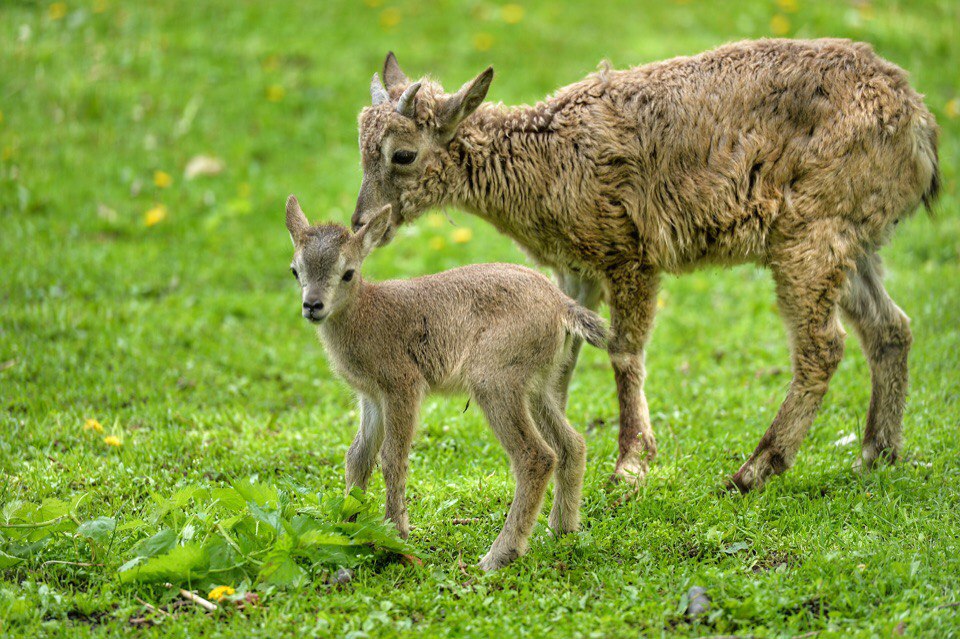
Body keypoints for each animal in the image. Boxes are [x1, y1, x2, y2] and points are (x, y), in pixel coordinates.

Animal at [284, 194, 608, 568]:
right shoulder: (371, 396)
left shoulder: (403, 385)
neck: (368, 315)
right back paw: (561, 530)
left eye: (348, 273)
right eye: (295, 270)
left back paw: (498, 556)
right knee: (572, 443)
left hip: (494, 379)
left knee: (535, 456)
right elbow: (358, 455)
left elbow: (392, 456)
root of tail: (563, 306)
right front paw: (348, 528)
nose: (313, 305)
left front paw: (397, 538)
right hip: (537, 384)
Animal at [350, 38, 936, 496]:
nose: (363, 221)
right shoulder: (575, 269)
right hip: (856, 237)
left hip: (810, 233)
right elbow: (563, 358)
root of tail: (918, 125)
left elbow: (624, 352)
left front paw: (630, 465)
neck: (545, 163)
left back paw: (754, 470)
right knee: (890, 327)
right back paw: (877, 453)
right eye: (362, 149)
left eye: (403, 154)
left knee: (824, 345)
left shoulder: (628, 253)